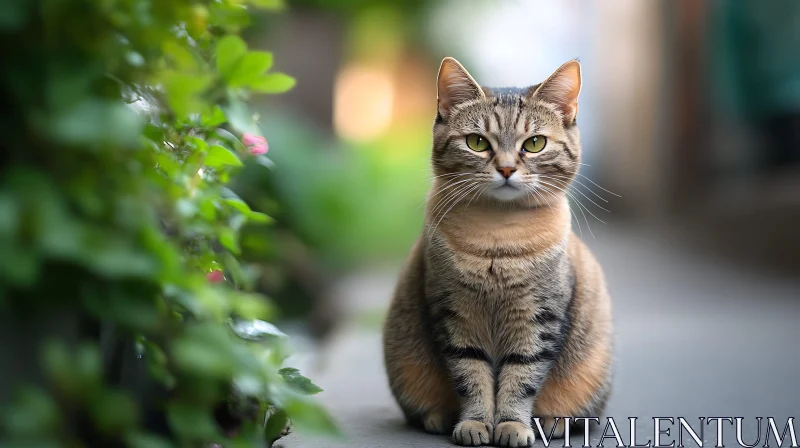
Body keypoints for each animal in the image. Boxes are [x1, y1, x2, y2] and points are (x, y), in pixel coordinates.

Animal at [382, 57, 612, 446]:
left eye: (534, 143)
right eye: (477, 142)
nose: (506, 168)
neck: (497, 239)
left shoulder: (538, 319)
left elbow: (521, 378)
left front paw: (512, 425)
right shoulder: (455, 315)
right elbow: (470, 374)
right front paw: (475, 422)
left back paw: (552, 422)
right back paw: (437, 417)